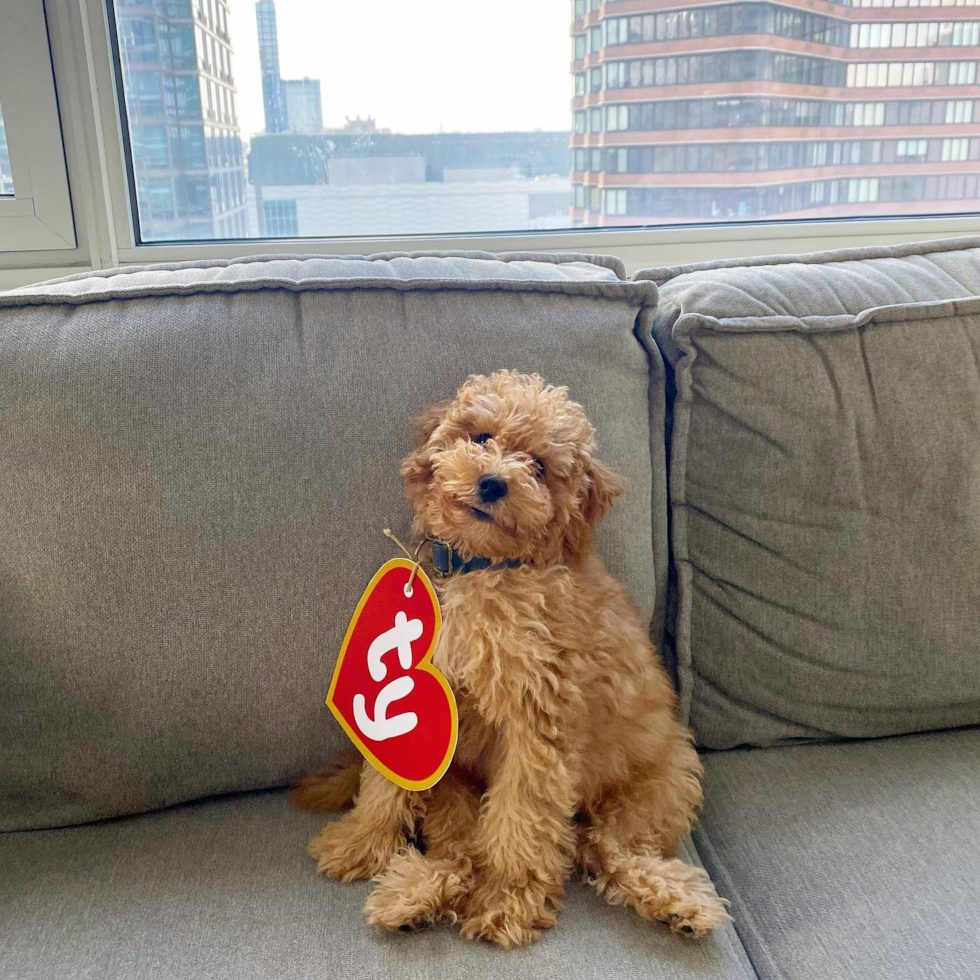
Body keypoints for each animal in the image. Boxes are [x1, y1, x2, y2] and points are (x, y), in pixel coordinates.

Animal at [290, 372, 728, 944]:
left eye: (539, 467)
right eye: (481, 437)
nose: (493, 483)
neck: (485, 569)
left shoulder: (538, 722)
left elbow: (521, 820)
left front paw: (506, 900)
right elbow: (386, 783)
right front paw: (361, 843)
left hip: (662, 784)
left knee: (600, 849)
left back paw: (677, 902)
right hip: (454, 788)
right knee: (463, 848)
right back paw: (413, 897)